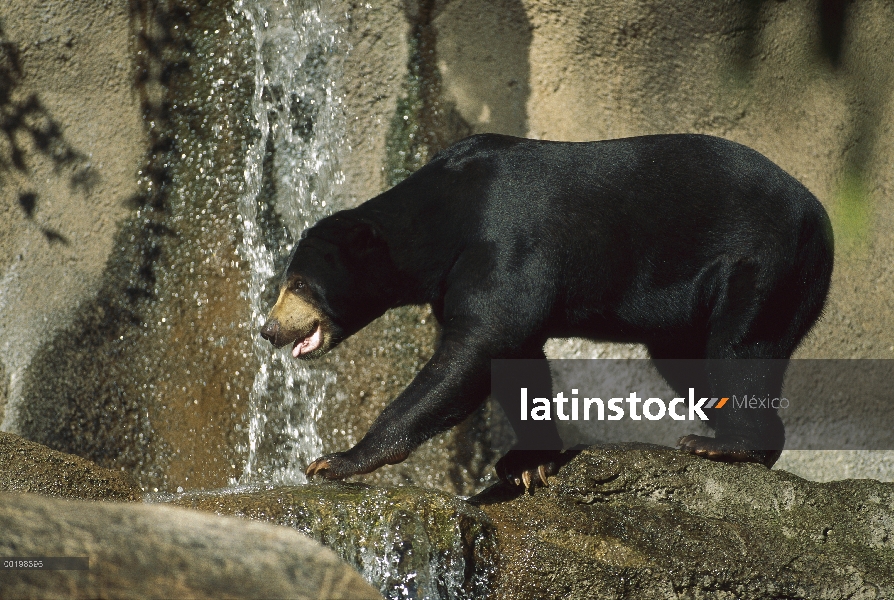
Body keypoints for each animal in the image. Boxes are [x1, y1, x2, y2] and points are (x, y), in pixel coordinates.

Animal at [258, 132, 832, 488]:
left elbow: (481, 344)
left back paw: (729, 446)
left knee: (740, 350)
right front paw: (526, 465)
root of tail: (819, 212)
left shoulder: (506, 239)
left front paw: (334, 461)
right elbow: (514, 357)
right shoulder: (460, 274)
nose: (267, 329)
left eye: (299, 283)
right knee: (692, 363)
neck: (440, 224)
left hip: (763, 265)